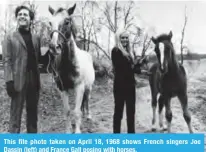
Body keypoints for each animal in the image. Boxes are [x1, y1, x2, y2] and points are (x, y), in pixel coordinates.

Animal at [47, 3, 95, 134]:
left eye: (67, 21)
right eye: (50, 23)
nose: (54, 47)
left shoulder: (79, 87)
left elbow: (76, 112)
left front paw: (77, 131)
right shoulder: (62, 89)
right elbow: (67, 111)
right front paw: (69, 130)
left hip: (88, 88)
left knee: (87, 100)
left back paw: (88, 116)